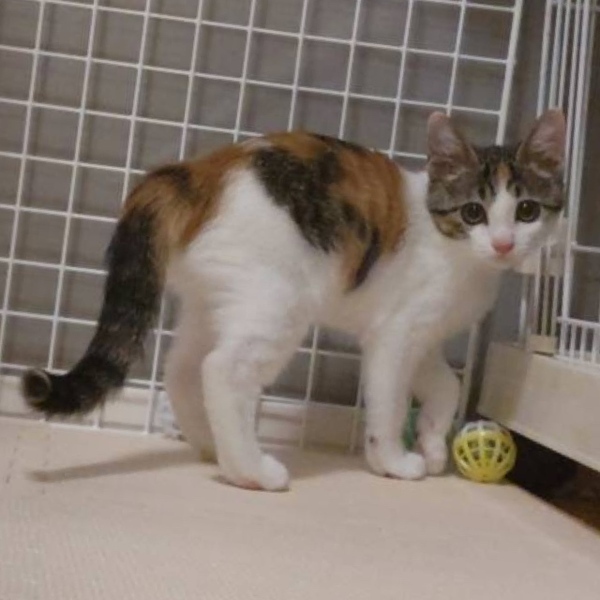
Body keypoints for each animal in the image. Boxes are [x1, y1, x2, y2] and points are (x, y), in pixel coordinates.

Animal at [21, 110, 565, 491]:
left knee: (182, 368)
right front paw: (393, 461)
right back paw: (250, 470)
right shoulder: (394, 337)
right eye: (474, 211)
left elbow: (447, 386)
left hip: (220, 300)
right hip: (278, 302)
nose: (504, 244)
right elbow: (389, 404)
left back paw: (211, 445)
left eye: (526, 210)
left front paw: (433, 445)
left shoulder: (423, 336)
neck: (455, 249)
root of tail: (195, 172)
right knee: (223, 370)